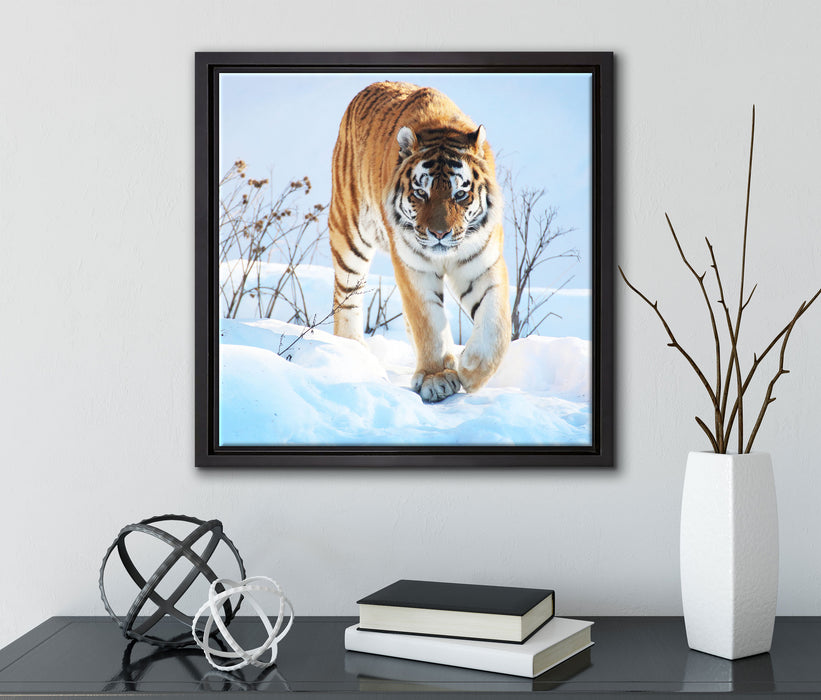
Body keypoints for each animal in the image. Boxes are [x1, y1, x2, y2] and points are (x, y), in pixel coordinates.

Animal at [329, 81, 511, 403]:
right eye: (420, 193)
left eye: (459, 194)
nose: (439, 234)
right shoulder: (414, 267)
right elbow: (428, 321)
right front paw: (436, 378)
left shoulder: (482, 263)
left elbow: (496, 323)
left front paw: (471, 370)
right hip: (349, 233)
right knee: (347, 296)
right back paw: (352, 351)